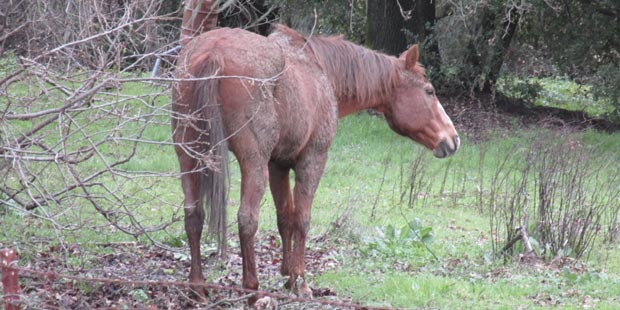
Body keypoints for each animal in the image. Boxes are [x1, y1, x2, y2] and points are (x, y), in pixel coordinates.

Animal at [170, 23, 460, 302]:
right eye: (429, 91)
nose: (453, 139)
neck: (321, 72)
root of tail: (213, 52)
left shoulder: (278, 164)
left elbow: (285, 217)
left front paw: (287, 275)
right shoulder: (312, 159)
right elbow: (301, 218)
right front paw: (301, 282)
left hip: (189, 156)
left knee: (194, 216)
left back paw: (197, 288)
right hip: (252, 163)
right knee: (247, 220)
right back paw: (252, 292)